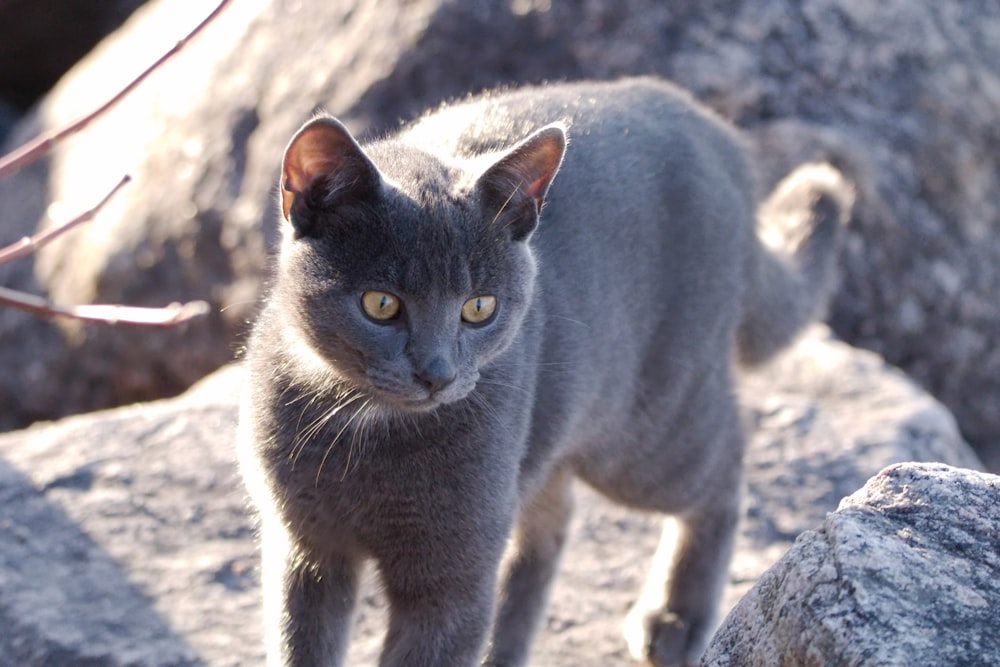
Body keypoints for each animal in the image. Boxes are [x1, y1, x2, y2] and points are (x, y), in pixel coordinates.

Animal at [240, 75, 852, 664]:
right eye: (381, 304)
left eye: (478, 308)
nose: (437, 373)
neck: (366, 432)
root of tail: (719, 135)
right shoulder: (304, 548)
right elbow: (298, 644)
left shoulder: (454, 579)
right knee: (551, 524)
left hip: (642, 430)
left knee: (724, 466)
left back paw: (676, 619)